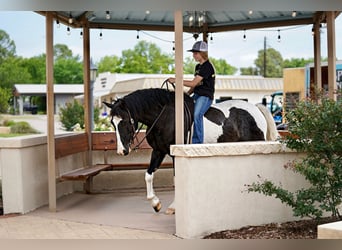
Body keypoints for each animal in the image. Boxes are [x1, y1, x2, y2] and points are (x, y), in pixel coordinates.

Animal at [103, 87, 278, 214]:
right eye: (112, 122)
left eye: (125, 121)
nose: (122, 151)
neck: (164, 117)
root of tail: (255, 108)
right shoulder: (158, 151)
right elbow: (148, 175)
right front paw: (155, 203)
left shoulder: (175, 154)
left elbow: (176, 179)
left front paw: (174, 207)